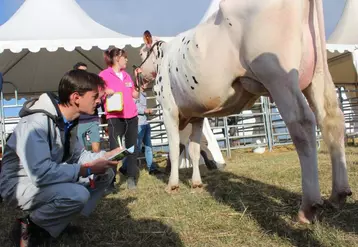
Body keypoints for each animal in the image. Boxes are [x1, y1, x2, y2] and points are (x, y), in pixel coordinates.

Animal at [138, 0, 352, 223]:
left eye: (142, 53)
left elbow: (173, 148)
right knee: (331, 118)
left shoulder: (168, 108)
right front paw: (196, 183)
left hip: (278, 75)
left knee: (302, 122)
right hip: (318, 73)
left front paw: (172, 185)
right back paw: (338, 194)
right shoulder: (197, 115)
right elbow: (195, 150)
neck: (164, 57)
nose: (138, 74)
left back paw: (308, 206)